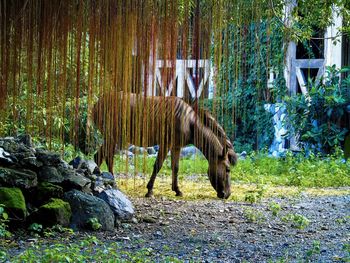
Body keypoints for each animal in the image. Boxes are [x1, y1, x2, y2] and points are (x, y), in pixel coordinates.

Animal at [92, 92, 238, 199]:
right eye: (227, 169)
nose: (227, 195)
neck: (189, 122)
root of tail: (97, 103)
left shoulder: (176, 147)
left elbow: (176, 167)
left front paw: (177, 190)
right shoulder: (165, 144)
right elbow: (157, 166)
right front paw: (149, 190)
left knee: (101, 157)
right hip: (113, 137)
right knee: (105, 157)